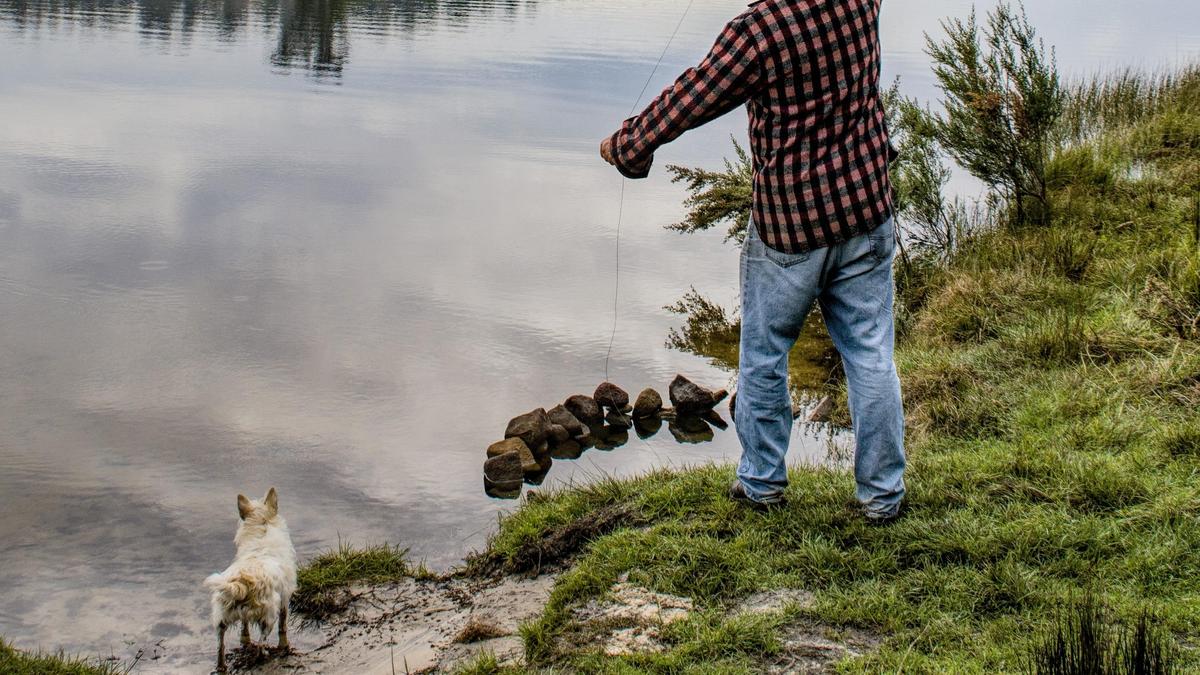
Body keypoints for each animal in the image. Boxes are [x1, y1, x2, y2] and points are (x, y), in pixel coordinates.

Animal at [204, 485, 297, 667]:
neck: (262, 532)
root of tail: (241, 582)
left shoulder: (244, 616)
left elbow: (244, 626)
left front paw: (245, 637)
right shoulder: (285, 596)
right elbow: (283, 623)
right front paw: (284, 642)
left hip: (221, 619)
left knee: (220, 646)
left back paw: (222, 665)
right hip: (268, 615)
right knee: (261, 642)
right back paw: (264, 656)